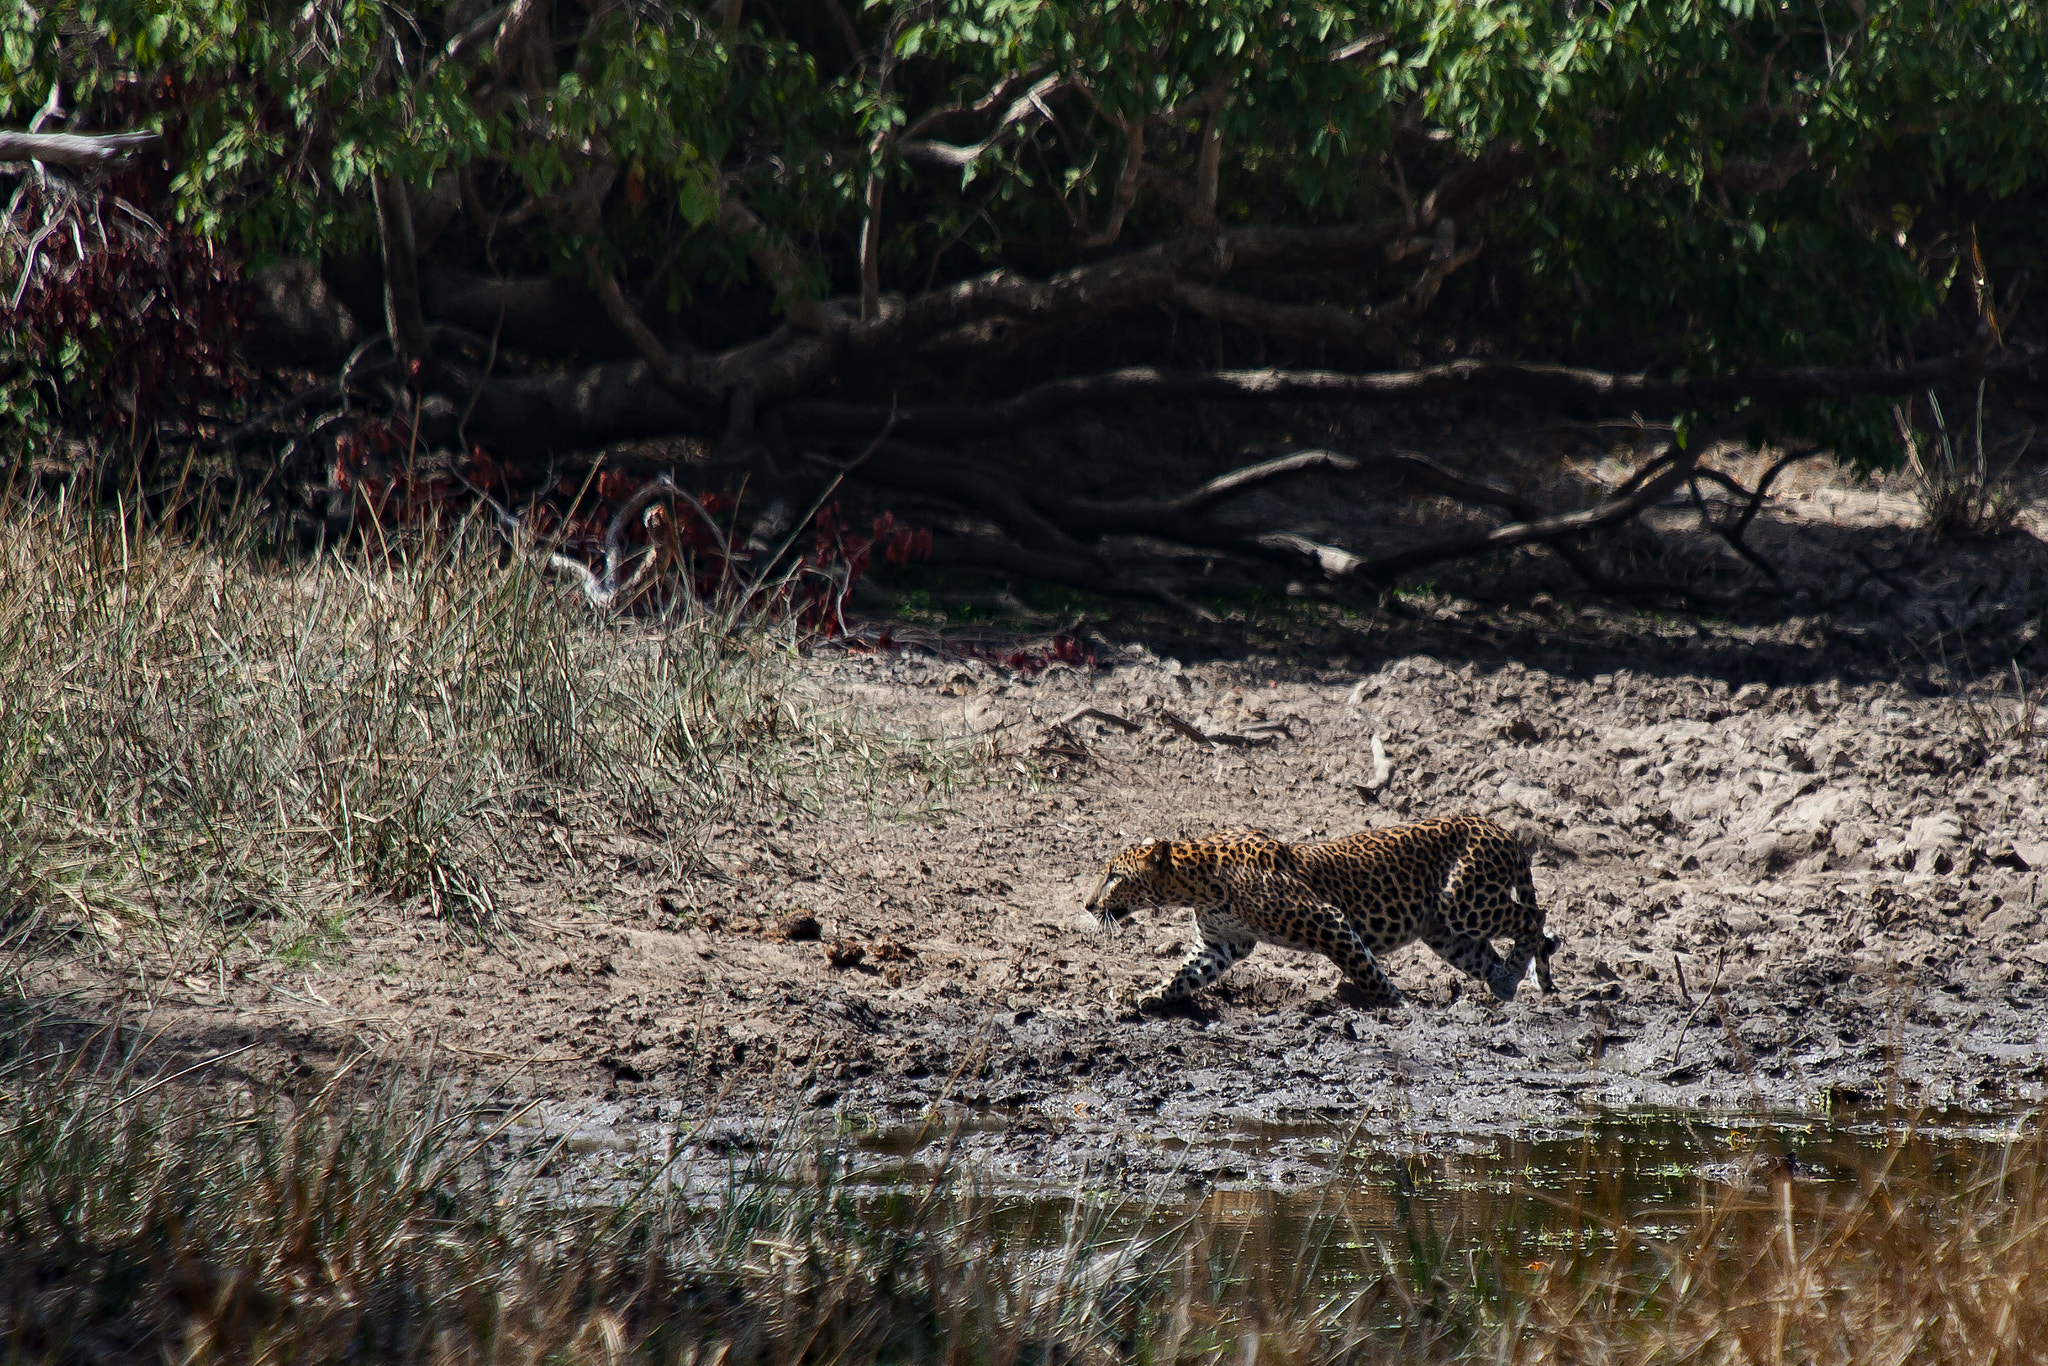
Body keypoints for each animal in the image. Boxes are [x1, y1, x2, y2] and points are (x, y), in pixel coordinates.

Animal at [1089, 810, 1548, 1015]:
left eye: (1114, 876)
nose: (1088, 905)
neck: (1196, 883)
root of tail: (1499, 828)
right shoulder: (1221, 943)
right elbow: (1186, 973)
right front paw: (1152, 995)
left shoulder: (1327, 919)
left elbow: (1364, 968)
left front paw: (1396, 1003)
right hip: (1447, 932)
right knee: (1490, 951)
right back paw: (1506, 984)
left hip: (1465, 902)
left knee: (1534, 917)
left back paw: (1516, 973)